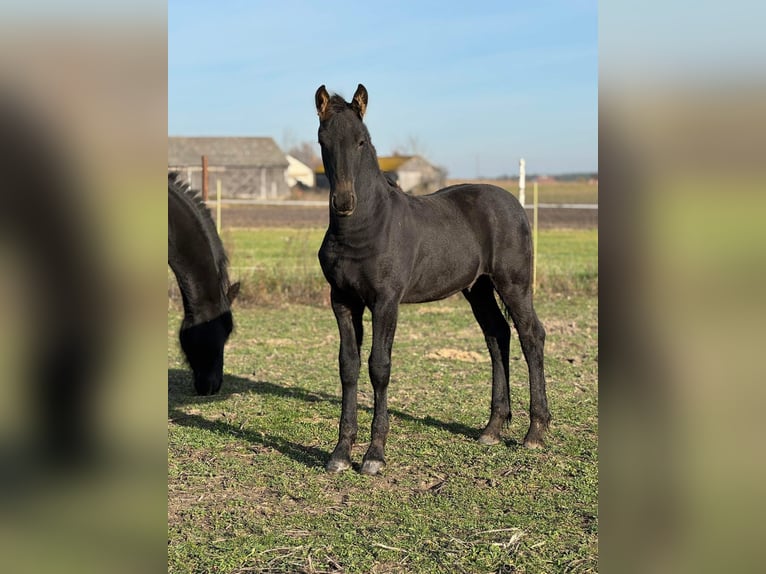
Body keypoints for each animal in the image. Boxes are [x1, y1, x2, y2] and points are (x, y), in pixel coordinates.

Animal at [315, 84, 551, 476]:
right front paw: (340, 453)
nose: (345, 201)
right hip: (478, 288)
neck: (364, 228)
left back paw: (535, 431)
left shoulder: (386, 302)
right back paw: (492, 428)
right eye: (323, 140)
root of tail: (514, 204)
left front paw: (374, 455)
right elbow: (348, 367)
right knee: (497, 335)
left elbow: (379, 367)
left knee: (531, 334)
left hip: (513, 284)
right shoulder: (343, 301)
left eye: (362, 141)